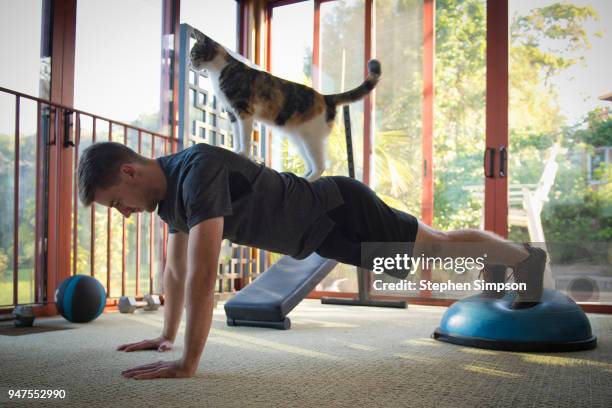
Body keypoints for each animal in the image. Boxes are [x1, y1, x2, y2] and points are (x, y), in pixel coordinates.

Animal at [191, 27, 380, 181]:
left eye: (193, 53)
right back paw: (301, 176)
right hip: (300, 140)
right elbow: (237, 135)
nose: (190, 63)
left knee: (321, 165)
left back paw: (308, 180)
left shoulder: (244, 111)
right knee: (312, 163)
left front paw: (242, 154)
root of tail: (325, 97)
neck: (218, 71)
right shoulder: (233, 114)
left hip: (310, 139)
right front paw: (236, 150)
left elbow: (245, 137)